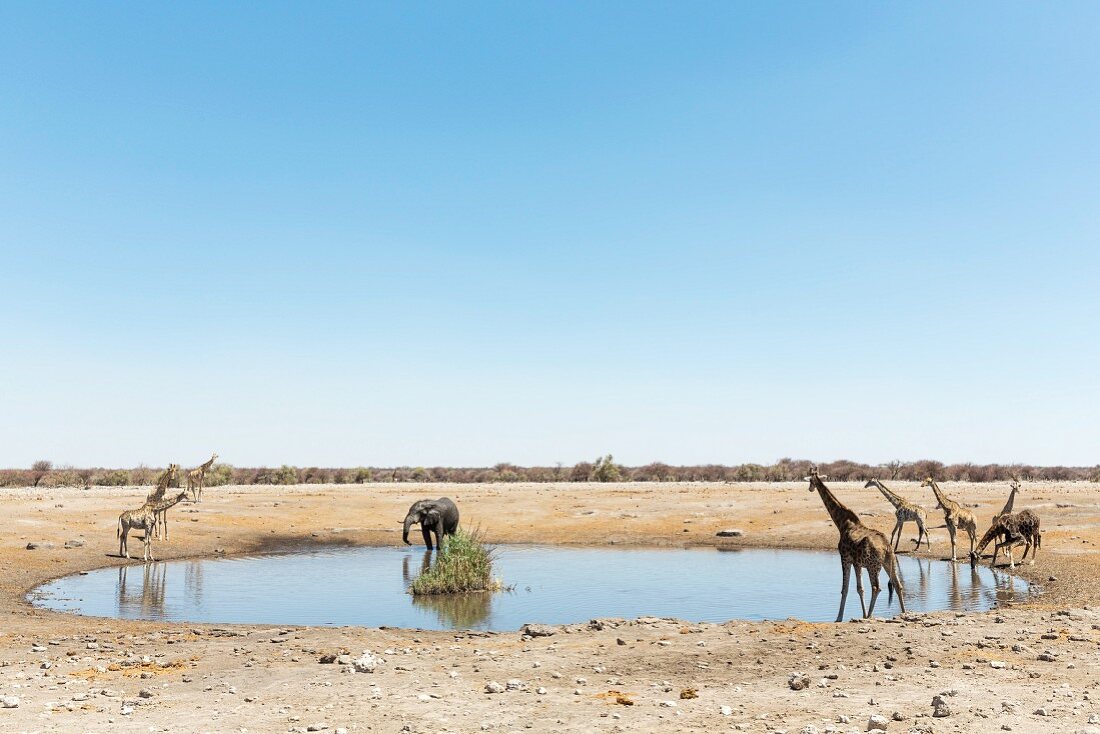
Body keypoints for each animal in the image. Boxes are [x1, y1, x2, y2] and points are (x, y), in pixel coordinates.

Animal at [805, 468, 906, 625]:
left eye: (810, 480)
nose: (810, 488)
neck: (842, 523)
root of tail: (887, 547)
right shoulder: (857, 563)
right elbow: (860, 589)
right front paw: (862, 614)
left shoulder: (845, 558)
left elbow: (845, 588)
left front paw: (839, 618)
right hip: (889, 562)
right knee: (897, 584)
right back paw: (903, 613)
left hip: (873, 566)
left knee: (876, 587)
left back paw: (870, 615)